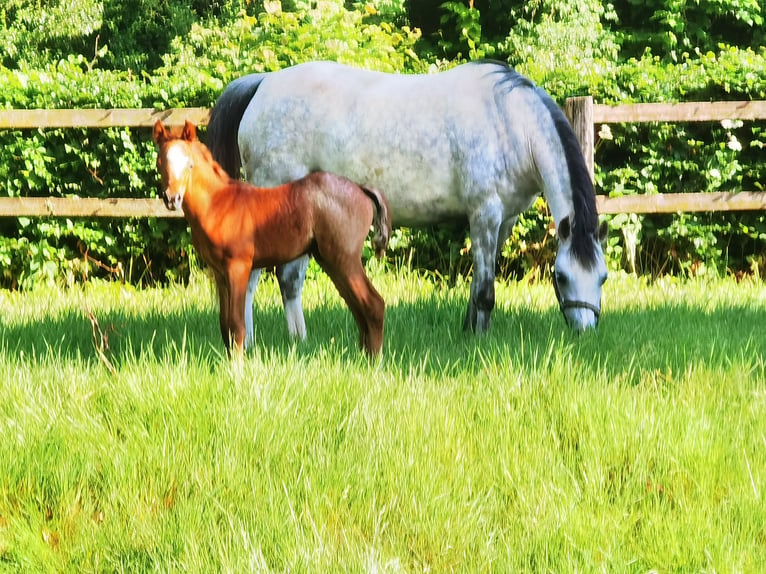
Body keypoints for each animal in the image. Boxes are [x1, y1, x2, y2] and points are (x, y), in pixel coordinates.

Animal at [207, 60, 608, 346]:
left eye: (602, 277)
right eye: (561, 276)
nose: (586, 332)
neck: (509, 122)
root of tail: (264, 84)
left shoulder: (502, 221)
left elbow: (479, 282)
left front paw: (468, 332)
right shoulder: (484, 214)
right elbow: (485, 292)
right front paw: (479, 343)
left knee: (290, 279)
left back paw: (299, 342)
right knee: (257, 274)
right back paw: (249, 343)